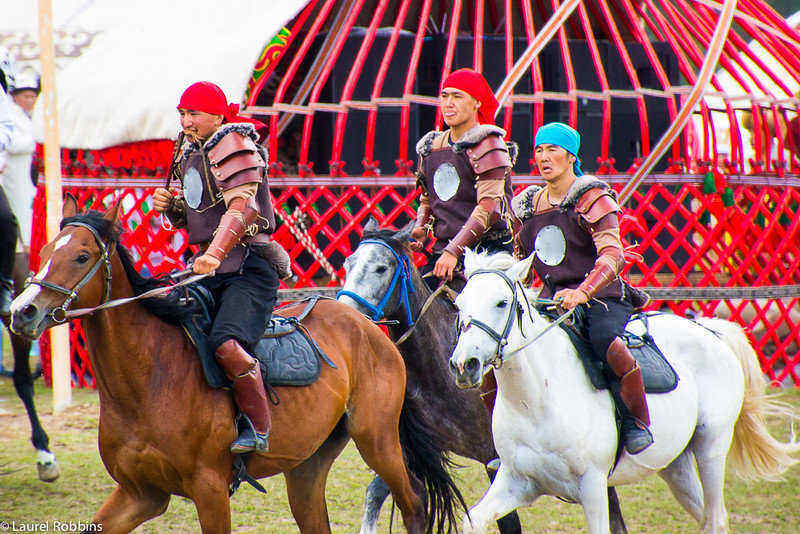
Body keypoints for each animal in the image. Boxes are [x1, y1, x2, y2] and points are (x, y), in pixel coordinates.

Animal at [10, 199, 462, 532]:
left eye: (81, 256)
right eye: (46, 251)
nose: (22, 311)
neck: (148, 378)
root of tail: (367, 326)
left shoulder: (208, 489)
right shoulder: (141, 494)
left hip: (377, 440)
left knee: (415, 504)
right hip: (307, 467)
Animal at [446, 252, 796, 534]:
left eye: (501, 303)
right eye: (459, 304)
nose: (464, 365)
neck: (534, 403)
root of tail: (711, 331)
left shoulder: (592, 487)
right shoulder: (515, 482)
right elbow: (473, 520)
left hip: (711, 446)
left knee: (715, 517)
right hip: (675, 466)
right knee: (707, 518)